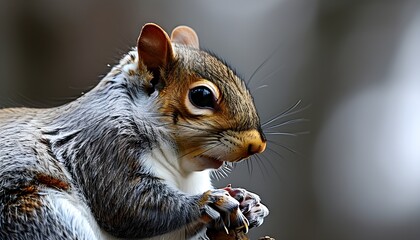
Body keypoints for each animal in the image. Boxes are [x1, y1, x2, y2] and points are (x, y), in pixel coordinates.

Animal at [0, 23, 270, 240]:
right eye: (201, 96)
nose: (257, 145)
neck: (182, 170)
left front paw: (249, 203)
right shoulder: (103, 149)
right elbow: (130, 206)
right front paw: (210, 201)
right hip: (41, 214)